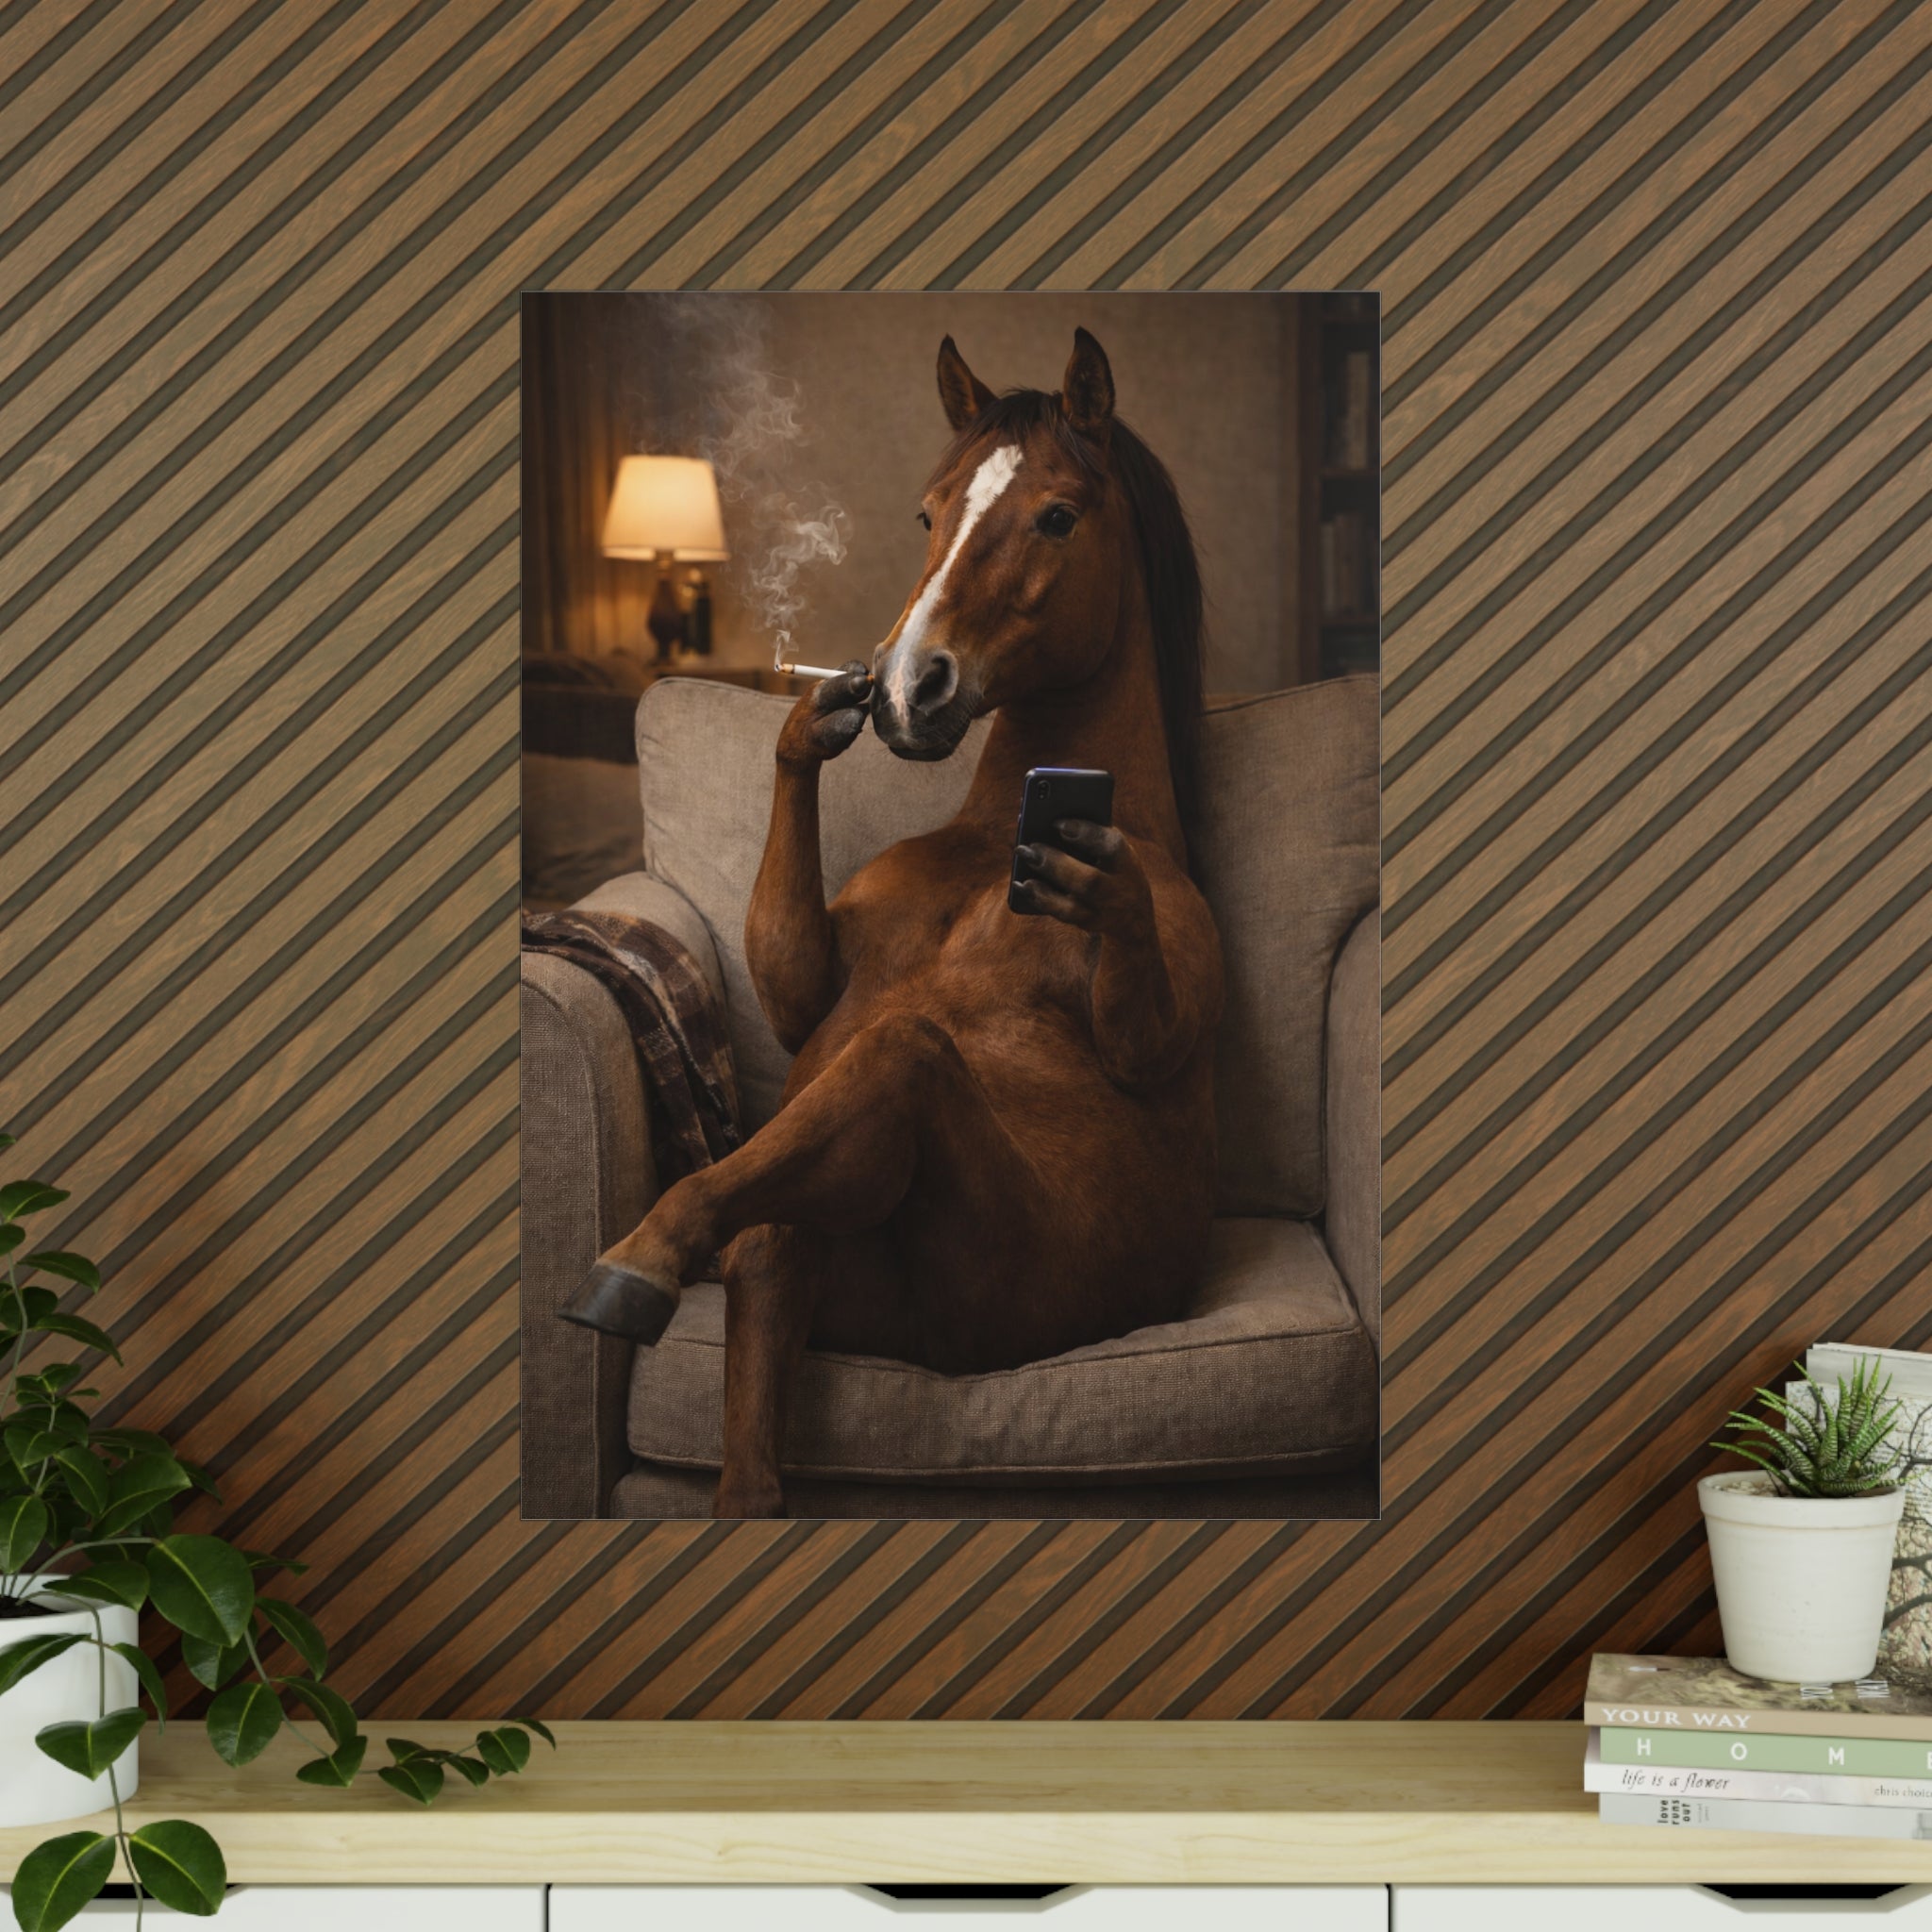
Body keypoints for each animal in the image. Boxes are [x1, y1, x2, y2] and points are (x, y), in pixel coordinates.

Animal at [562, 329, 1225, 1519]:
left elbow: (1138, 1031)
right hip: (806, 1265)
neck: (990, 838)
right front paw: (807, 717)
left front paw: (1096, 884)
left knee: (892, 1061)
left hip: (980, 1284)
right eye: (927, 514)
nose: (911, 684)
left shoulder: (1166, 989)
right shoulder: (803, 993)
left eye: (1058, 516)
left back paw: (637, 1262)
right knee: (764, 1287)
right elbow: (792, 982)